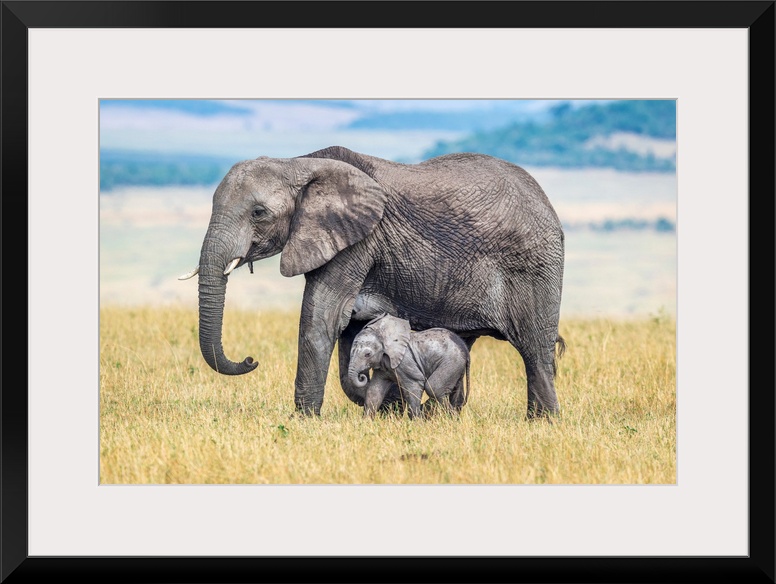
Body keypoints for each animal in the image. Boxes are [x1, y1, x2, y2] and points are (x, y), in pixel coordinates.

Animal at [181, 145, 565, 419]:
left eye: (258, 213)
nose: (250, 360)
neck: (298, 163)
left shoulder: (358, 238)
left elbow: (322, 318)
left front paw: (304, 420)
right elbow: (349, 326)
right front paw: (387, 409)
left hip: (535, 265)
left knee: (535, 349)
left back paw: (541, 422)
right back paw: (444, 416)